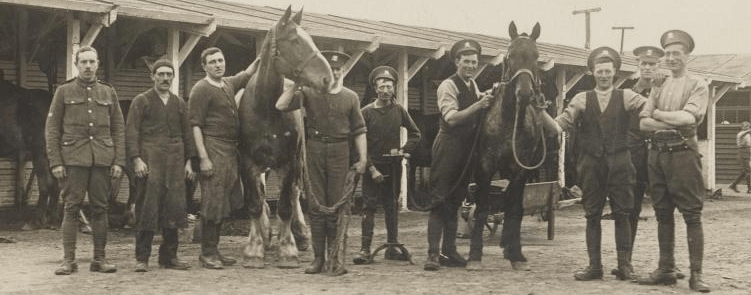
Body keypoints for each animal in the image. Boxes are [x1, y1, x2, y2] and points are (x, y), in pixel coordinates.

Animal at [239, 7, 334, 270]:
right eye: (294, 40)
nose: (327, 78)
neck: (266, 108)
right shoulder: (248, 162)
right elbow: (254, 202)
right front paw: (254, 249)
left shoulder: (290, 162)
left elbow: (284, 206)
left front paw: (288, 250)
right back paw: (266, 235)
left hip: (297, 161)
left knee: (292, 195)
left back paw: (298, 235)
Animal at [470, 22, 552, 272]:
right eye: (509, 56)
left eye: (536, 56)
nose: (524, 94)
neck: (508, 122)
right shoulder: (485, 167)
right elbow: (482, 207)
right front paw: (474, 255)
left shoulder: (520, 170)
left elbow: (514, 209)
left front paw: (516, 254)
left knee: (512, 205)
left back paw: (510, 247)